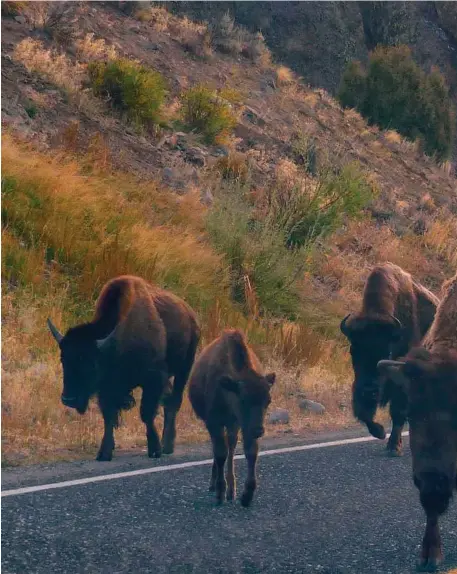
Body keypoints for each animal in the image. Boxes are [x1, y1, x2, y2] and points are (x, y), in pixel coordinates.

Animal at [45, 276, 200, 464]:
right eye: (63, 360)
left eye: (90, 363)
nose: (68, 399)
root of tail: (190, 314)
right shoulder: (107, 388)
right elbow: (109, 416)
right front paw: (104, 453)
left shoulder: (153, 379)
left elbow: (146, 413)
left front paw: (154, 450)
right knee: (168, 400)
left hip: (184, 368)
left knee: (174, 402)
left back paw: (167, 446)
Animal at [188, 328, 274, 508]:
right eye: (243, 399)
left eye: (268, 401)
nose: (259, 430)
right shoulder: (214, 422)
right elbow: (221, 453)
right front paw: (220, 492)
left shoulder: (243, 425)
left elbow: (250, 452)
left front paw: (246, 495)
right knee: (222, 450)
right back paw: (216, 486)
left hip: (233, 425)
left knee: (231, 447)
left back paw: (231, 491)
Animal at [340, 264, 436, 456]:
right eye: (353, 350)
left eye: (388, 351)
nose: (369, 390)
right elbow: (363, 413)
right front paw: (380, 432)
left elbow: (398, 411)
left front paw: (393, 447)